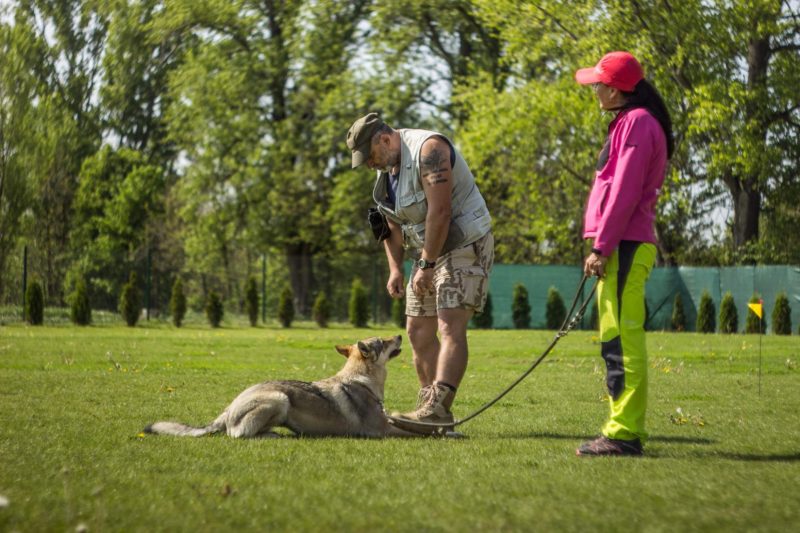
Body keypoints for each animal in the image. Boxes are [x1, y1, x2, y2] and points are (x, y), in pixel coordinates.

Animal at [145, 334, 418, 438]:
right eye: (383, 341)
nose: (399, 335)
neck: (362, 380)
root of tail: (229, 408)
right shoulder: (382, 430)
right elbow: (417, 433)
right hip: (280, 398)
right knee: (238, 434)